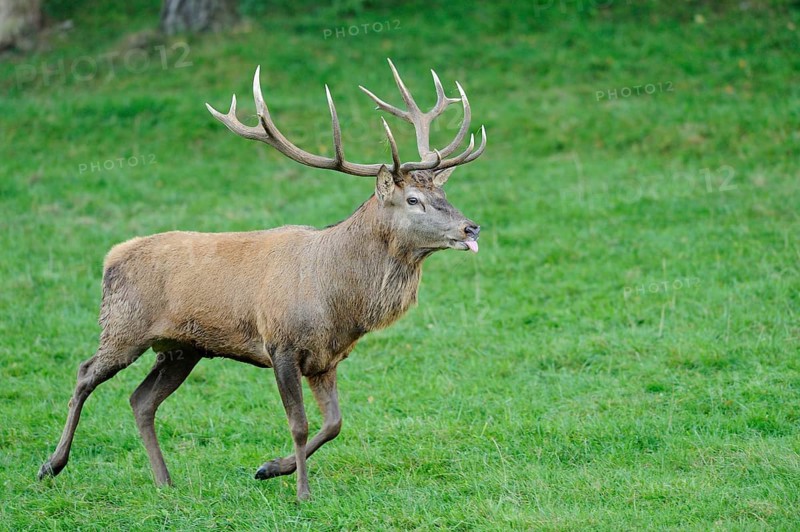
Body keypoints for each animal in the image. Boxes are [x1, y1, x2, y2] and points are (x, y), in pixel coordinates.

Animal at [37, 58, 486, 501]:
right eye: (413, 199)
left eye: (444, 195)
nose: (471, 227)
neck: (340, 301)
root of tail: (111, 257)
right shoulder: (281, 343)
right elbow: (299, 424)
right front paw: (302, 492)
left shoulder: (327, 358)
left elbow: (334, 424)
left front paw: (270, 468)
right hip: (123, 327)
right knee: (84, 373)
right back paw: (51, 465)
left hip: (182, 349)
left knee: (141, 400)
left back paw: (165, 482)